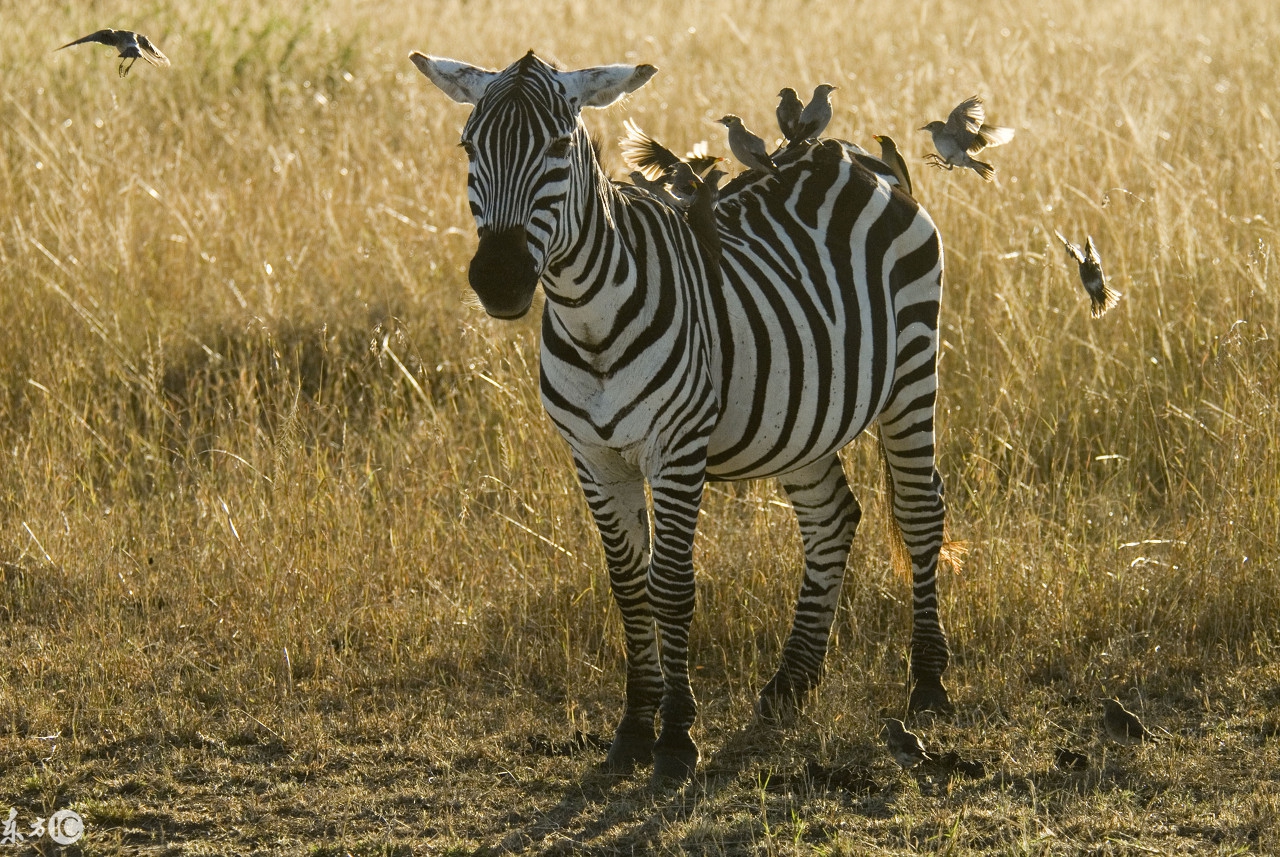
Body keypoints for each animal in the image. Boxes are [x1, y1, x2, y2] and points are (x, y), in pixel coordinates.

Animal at [407, 47, 952, 787]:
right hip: (803, 419)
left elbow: (670, 586)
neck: (589, 319)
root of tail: (848, 156)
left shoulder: (677, 451)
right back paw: (791, 683)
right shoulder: (593, 458)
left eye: (558, 147)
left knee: (921, 512)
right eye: (469, 148)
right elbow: (627, 586)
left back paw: (927, 684)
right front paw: (635, 726)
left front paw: (675, 735)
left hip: (912, 371)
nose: (499, 278)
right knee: (831, 520)